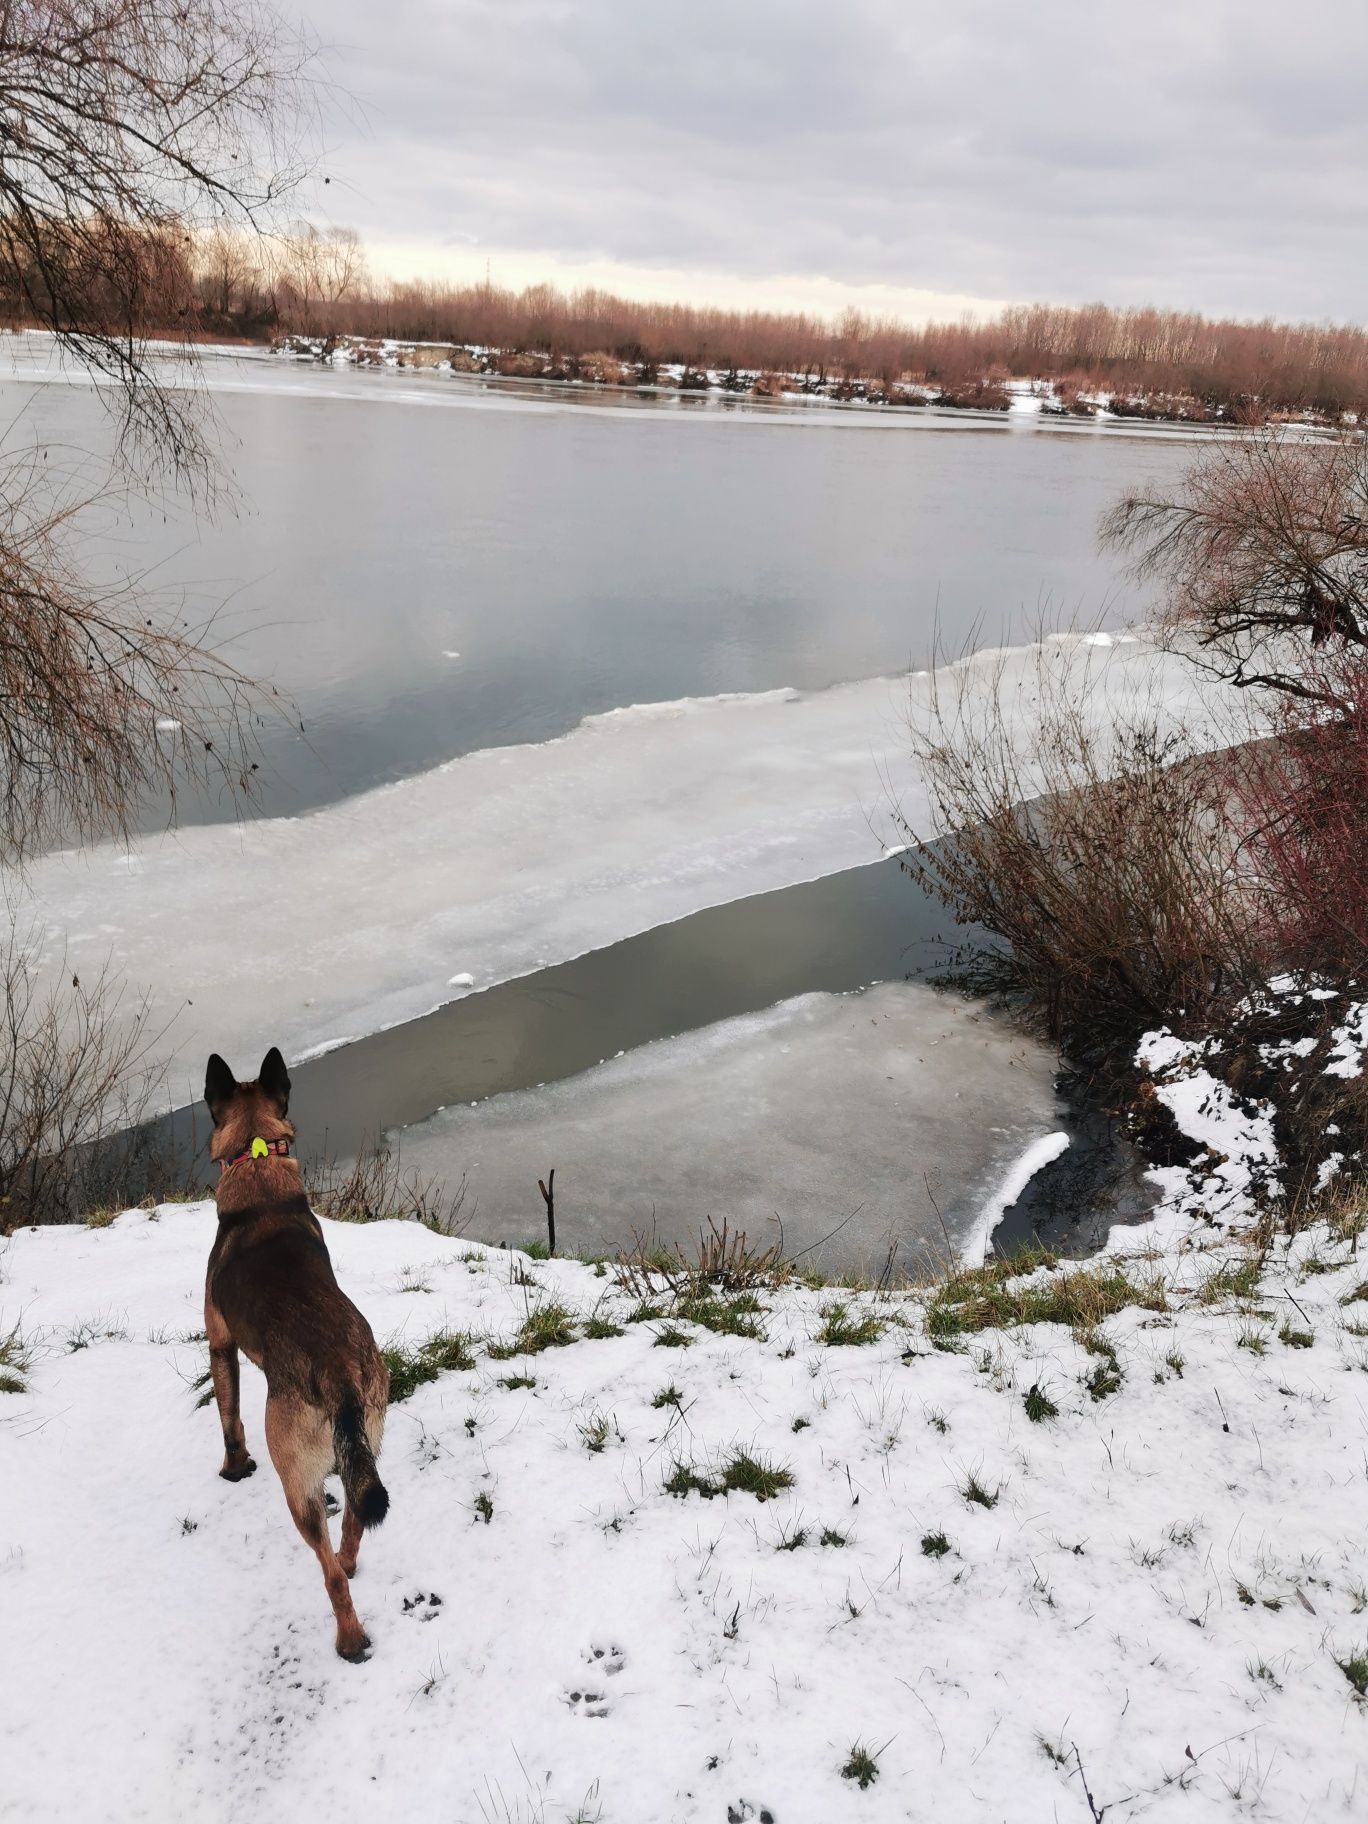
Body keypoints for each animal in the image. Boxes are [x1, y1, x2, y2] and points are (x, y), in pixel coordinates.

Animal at [203, 1050, 388, 1663]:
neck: (258, 1156)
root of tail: (341, 1378)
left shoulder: (219, 1342)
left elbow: (229, 1418)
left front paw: (234, 1470)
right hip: (365, 1449)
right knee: (353, 1523)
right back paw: (352, 1565)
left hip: (296, 1486)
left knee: (327, 1571)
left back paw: (350, 1640)